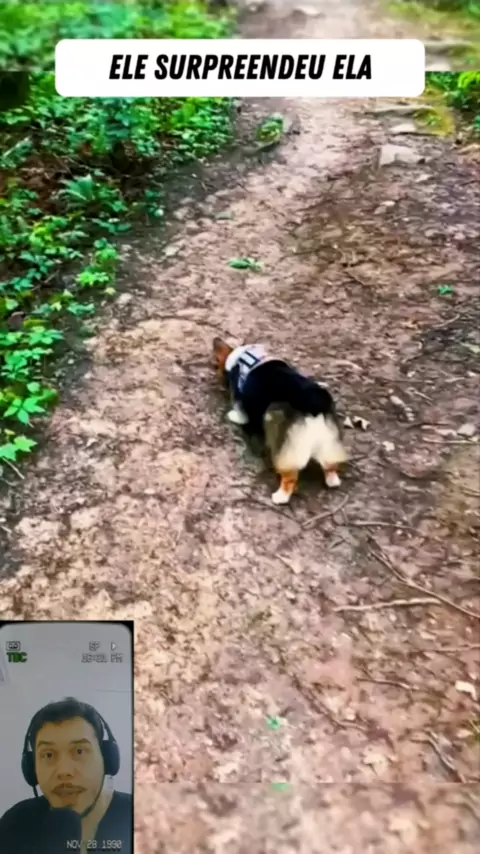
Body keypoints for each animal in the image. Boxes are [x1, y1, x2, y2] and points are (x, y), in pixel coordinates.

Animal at [213, 337, 348, 504]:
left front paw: (233, 416)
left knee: (290, 477)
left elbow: (240, 413)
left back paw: (280, 497)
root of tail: (313, 407)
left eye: (216, 365)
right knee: (330, 466)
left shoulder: (241, 401)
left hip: (283, 439)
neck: (242, 358)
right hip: (328, 441)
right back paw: (332, 480)